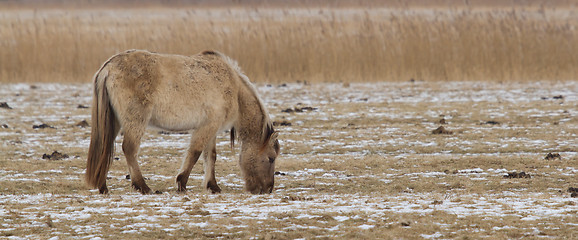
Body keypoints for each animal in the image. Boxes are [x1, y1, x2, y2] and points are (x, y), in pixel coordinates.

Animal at [84, 49, 280, 194]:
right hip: (136, 120)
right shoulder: (207, 127)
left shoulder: (211, 128)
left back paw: (103, 186)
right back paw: (143, 186)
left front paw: (213, 186)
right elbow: (195, 152)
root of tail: (108, 67)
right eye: (271, 158)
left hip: (115, 121)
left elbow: (211, 156)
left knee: (106, 147)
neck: (234, 87)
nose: (268, 189)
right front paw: (182, 183)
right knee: (129, 149)